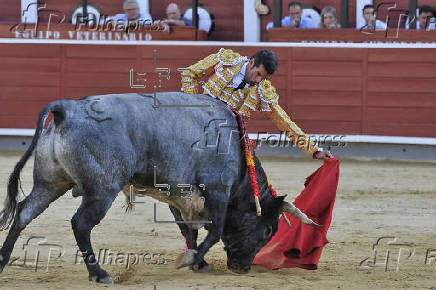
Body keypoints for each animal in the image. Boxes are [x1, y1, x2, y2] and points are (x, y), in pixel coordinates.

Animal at [0, 93, 318, 284]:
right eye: (268, 231)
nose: (242, 268)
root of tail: (68, 108)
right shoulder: (217, 188)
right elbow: (214, 229)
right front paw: (191, 260)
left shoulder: (178, 196)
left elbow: (188, 230)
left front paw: (199, 262)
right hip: (102, 189)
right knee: (80, 223)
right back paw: (99, 273)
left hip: (50, 183)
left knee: (24, 213)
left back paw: (2, 261)